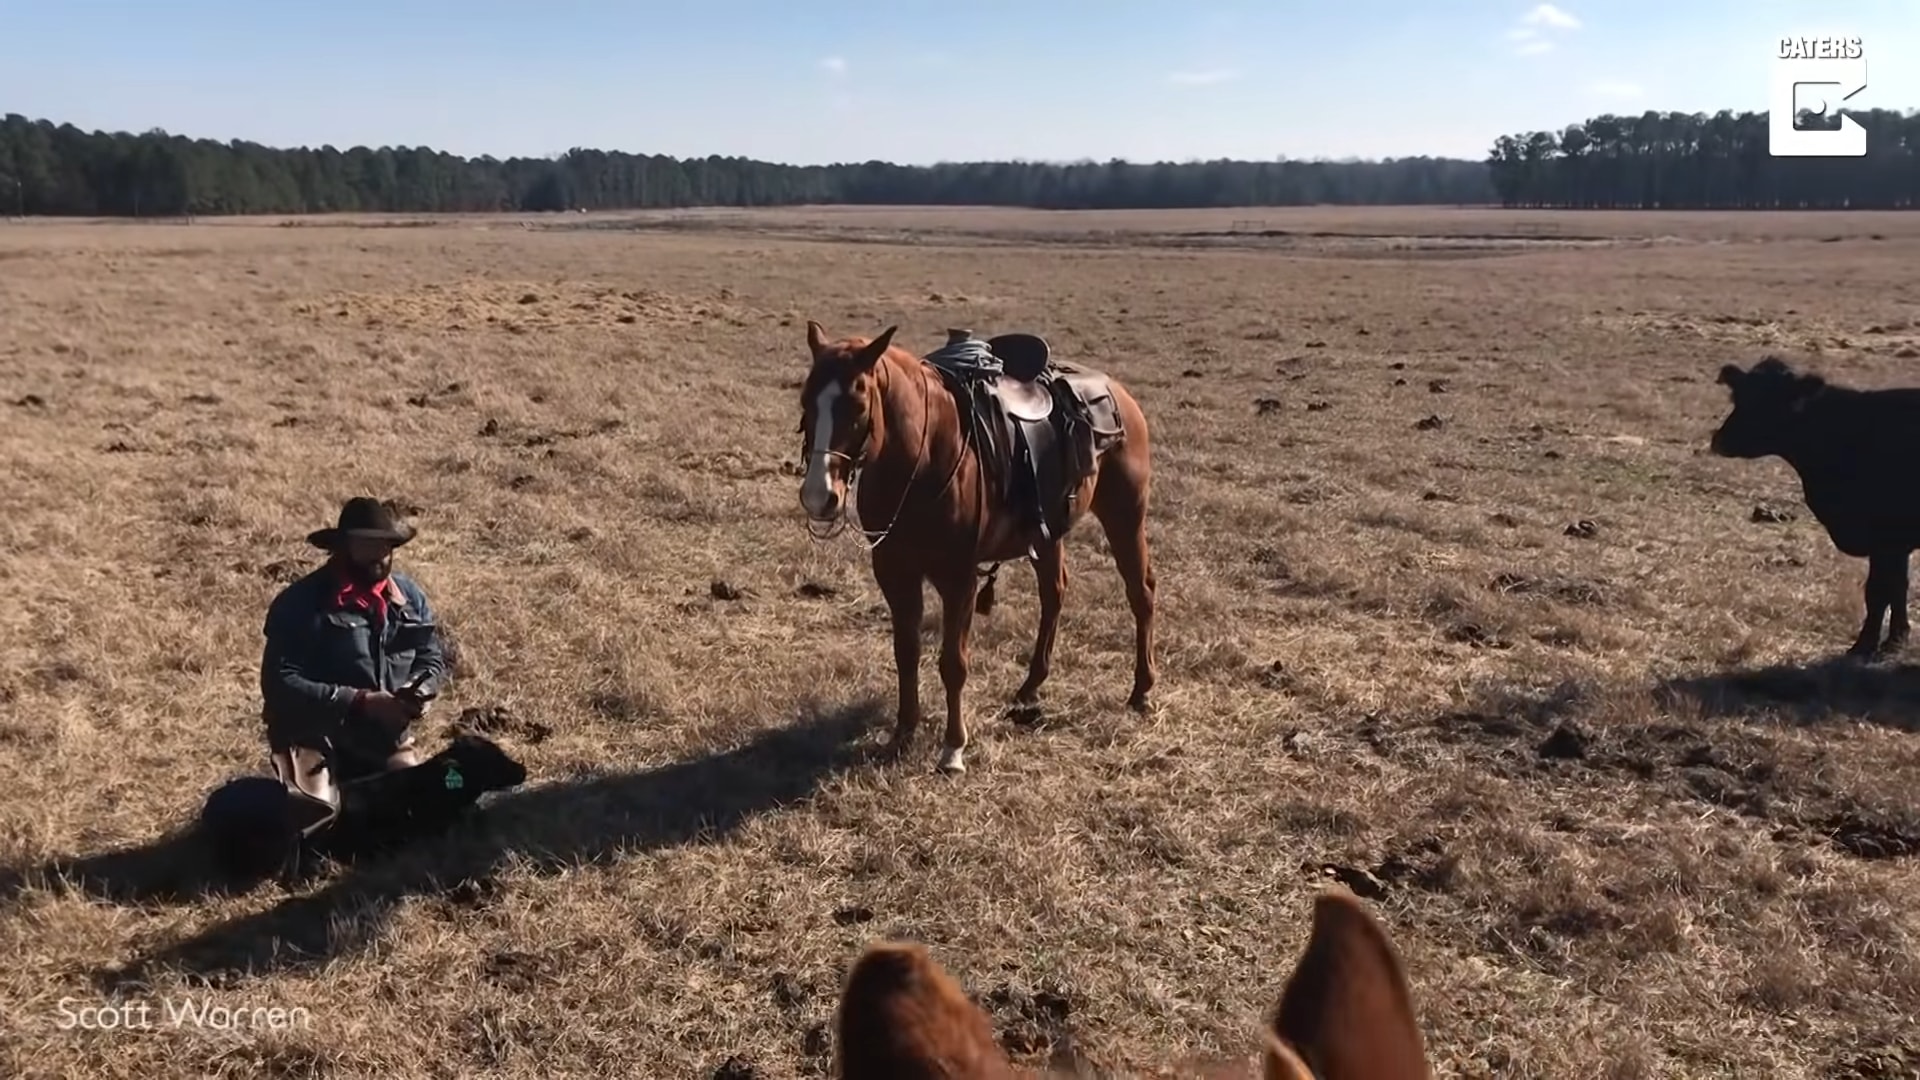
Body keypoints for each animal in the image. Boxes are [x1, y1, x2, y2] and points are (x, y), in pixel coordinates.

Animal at [791, 319, 1152, 772]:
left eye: (857, 405)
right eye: (806, 400)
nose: (819, 495)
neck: (922, 457)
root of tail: (1117, 391)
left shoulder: (958, 578)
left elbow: (953, 663)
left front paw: (953, 748)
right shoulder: (894, 571)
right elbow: (905, 653)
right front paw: (902, 733)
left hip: (1126, 517)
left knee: (1141, 593)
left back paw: (1142, 690)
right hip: (1049, 533)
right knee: (1054, 593)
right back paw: (1031, 685)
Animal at [1720, 353, 1920, 657]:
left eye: (1773, 401)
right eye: (1739, 396)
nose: (1719, 439)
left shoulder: (1887, 538)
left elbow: (1879, 591)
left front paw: (1869, 644)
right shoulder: (1892, 543)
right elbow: (1896, 589)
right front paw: (1895, 639)